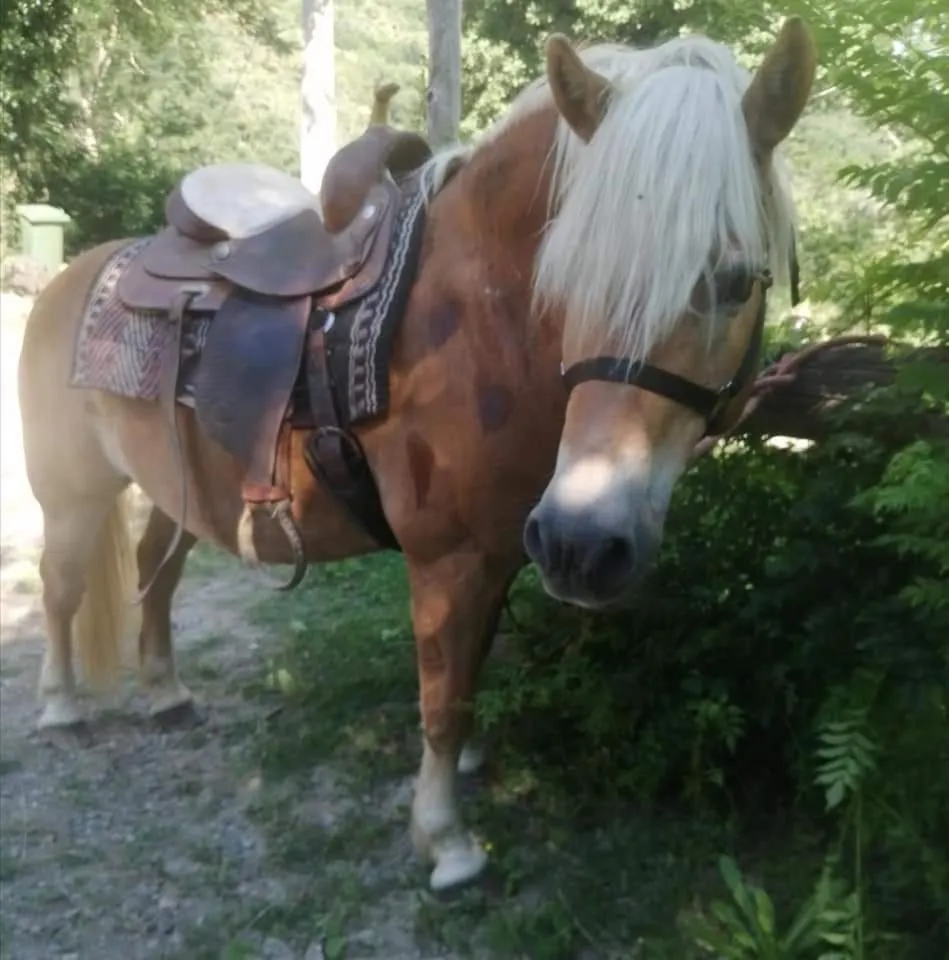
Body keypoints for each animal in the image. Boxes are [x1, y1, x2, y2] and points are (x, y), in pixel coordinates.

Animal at [18, 19, 815, 891]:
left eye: (736, 282)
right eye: (565, 277)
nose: (584, 544)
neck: (473, 315)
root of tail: (73, 275)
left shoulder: (503, 547)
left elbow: (471, 668)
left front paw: (461, 770)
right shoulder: (449, 556)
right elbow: (444, 691)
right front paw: (446, 839)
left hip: (177, 488)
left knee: (155, 574)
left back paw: (165, 693)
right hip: (71, 493)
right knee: (60, 590)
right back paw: (59, 705)